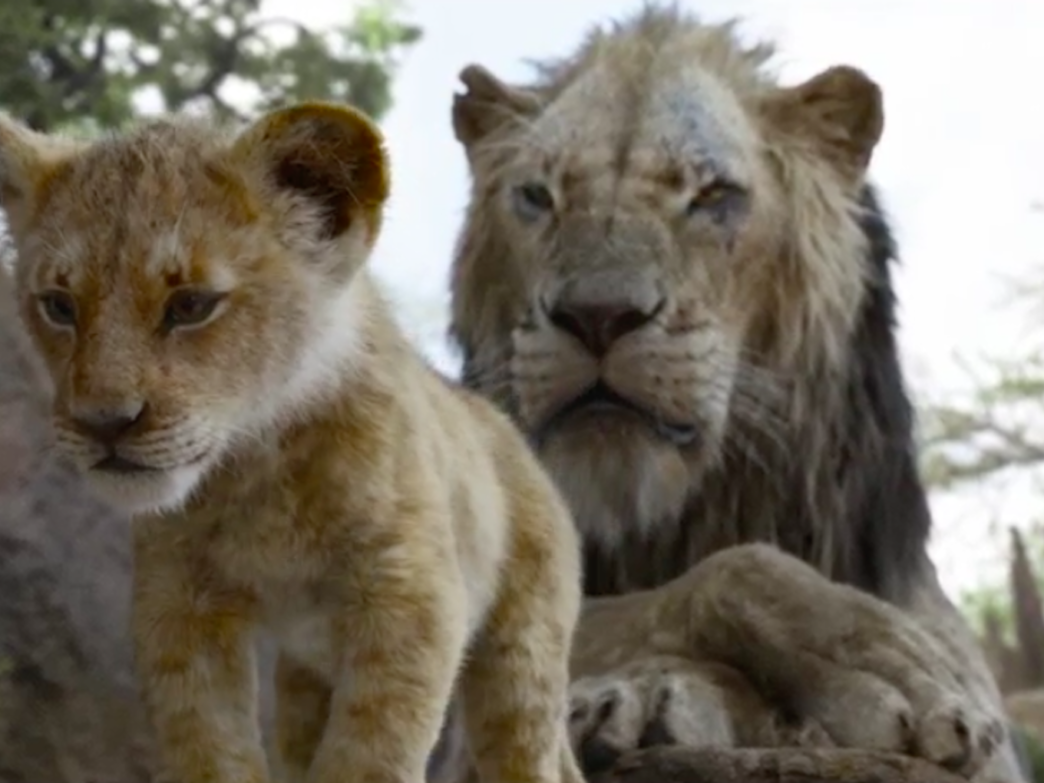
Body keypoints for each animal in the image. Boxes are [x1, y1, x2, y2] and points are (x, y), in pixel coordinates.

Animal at [0, 103, 585, 783]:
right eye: (59, 306)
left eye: (191, 305)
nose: (103, 424)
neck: (255, 467)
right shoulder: (179, 605)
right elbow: (209, 749)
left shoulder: (413, 593)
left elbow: (370, 757)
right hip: (308, 677)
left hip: (522, 653)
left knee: (526, 748)